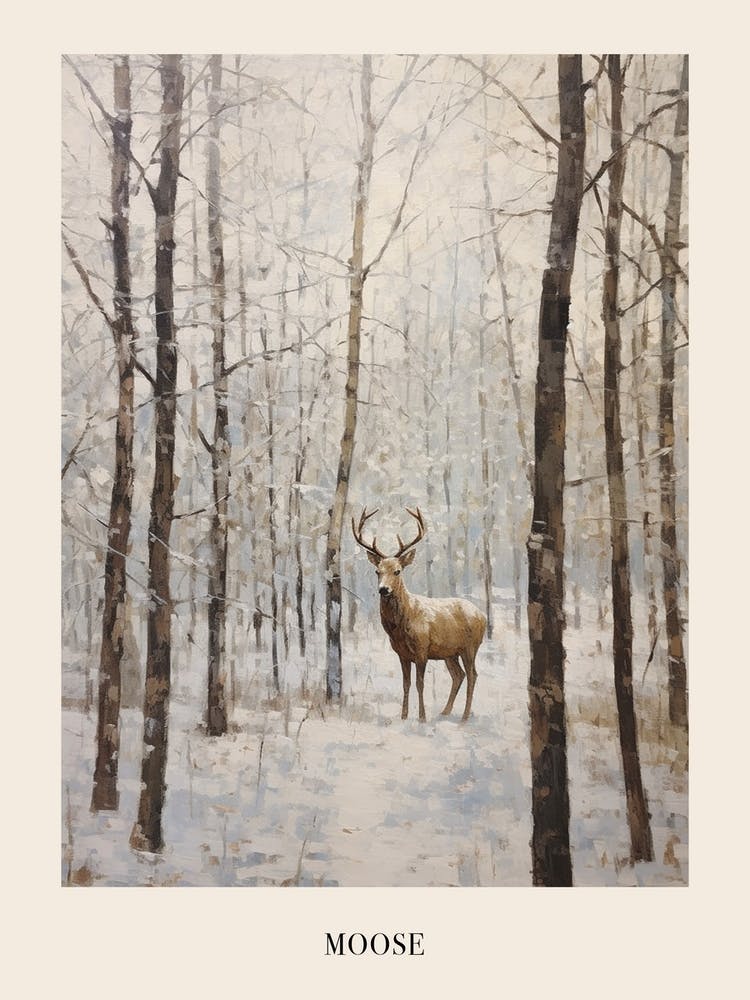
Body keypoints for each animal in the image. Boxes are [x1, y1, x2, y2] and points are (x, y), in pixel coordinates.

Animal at [352, 506, 486, 723]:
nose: (383, 589)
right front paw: (404, 716)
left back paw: (465, 716)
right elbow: (406, 684)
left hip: (470, 646)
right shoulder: (402, 654)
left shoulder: (422, 649)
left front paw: (422, 717)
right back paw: (445, 711)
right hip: (450, 653)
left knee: (473, 675)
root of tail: (482, 615)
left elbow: (419, 683)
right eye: (377, 571)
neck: (401, 626)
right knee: (458, 675)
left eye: (397, 571)